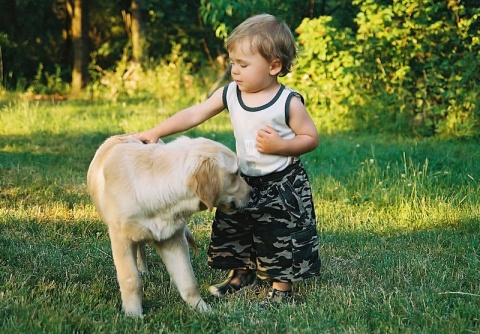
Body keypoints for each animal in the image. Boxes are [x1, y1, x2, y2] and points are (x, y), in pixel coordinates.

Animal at [87, 134, 251, 318]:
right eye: (235, 174)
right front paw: (134, 315)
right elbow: (131, 279)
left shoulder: (173, 238)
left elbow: (188, 279)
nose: (252, 193)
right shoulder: (121, 239)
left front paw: (203, 310)